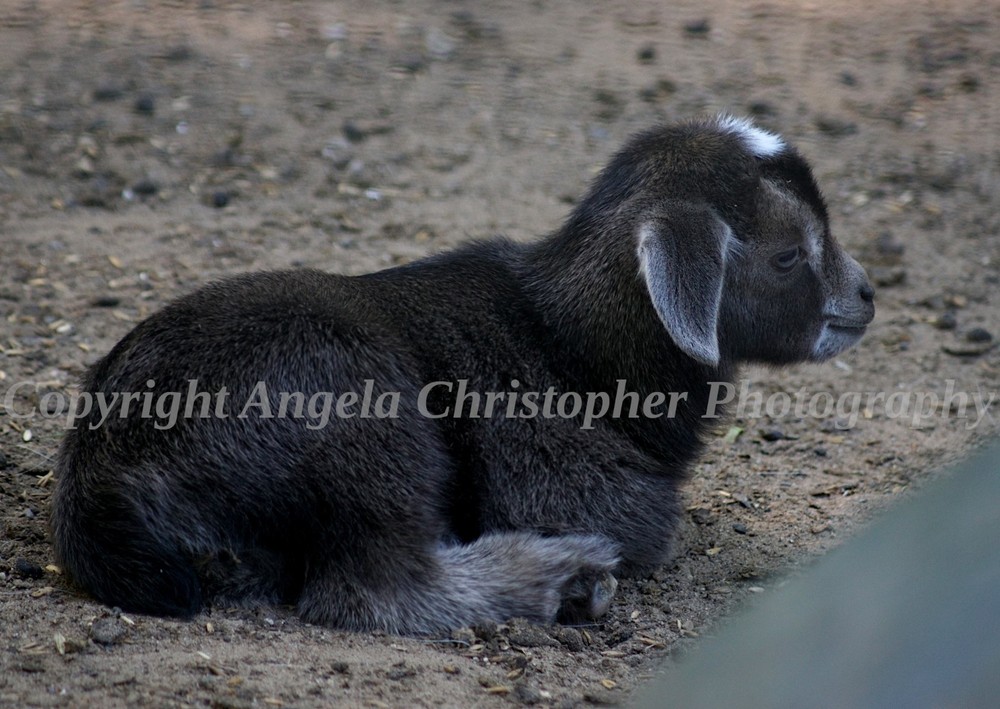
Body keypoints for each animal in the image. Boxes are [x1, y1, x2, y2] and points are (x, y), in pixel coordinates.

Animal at [51, 115, 875, 634]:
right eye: (787, 255)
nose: (866, 296)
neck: (572, 348)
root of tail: (106, 477)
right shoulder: (570, 487)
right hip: (361, 413)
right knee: (372, 587)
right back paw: (564, 580)